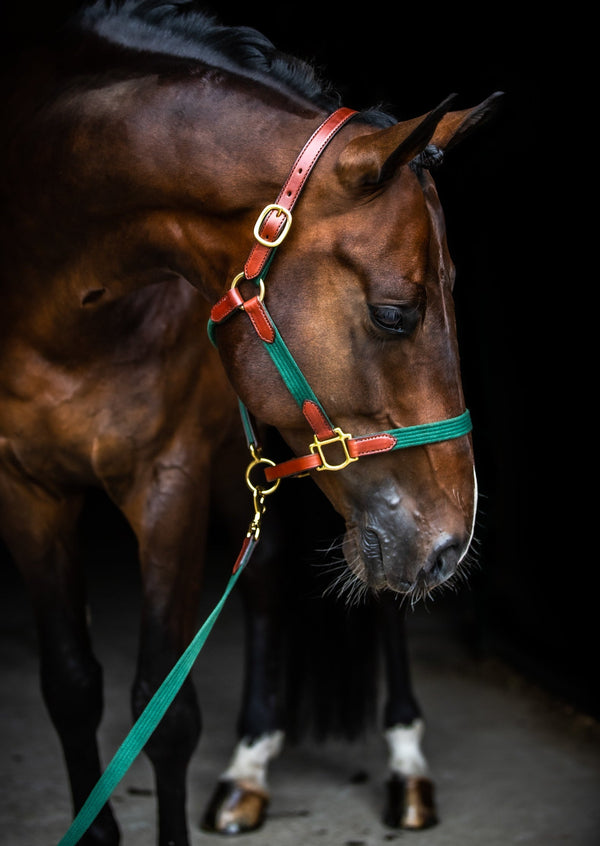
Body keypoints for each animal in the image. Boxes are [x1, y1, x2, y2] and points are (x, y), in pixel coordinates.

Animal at [0, 3, 500, 844]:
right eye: (394, 313)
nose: (449, 547)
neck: (64, 311)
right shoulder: (29, 488)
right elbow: (71, 686)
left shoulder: (166, 482)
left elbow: (163, 713)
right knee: (264, 574)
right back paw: (248, 770)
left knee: (381, 608)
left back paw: (405, 765)